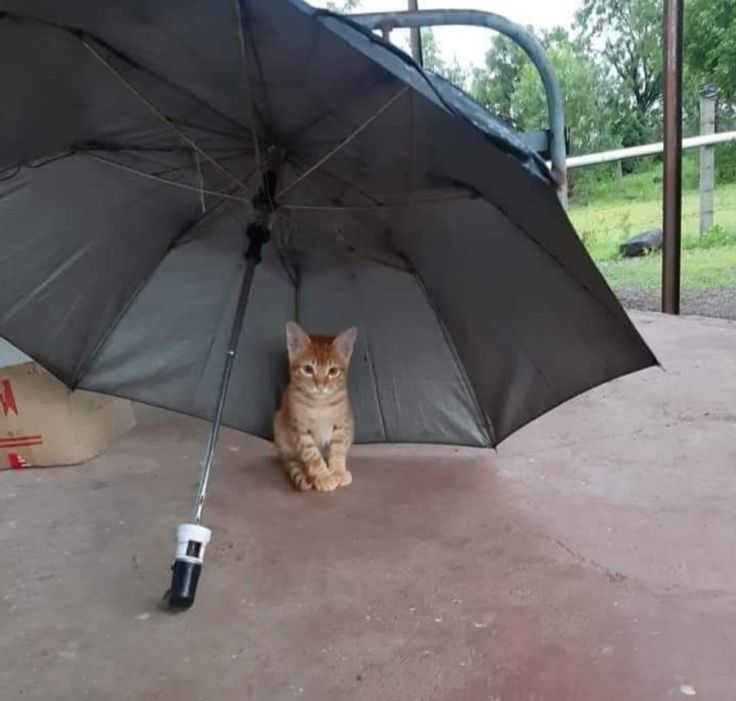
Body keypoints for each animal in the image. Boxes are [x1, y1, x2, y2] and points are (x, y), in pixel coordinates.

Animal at [274, 320, 358, 490]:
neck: (321, 404)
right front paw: (324, 477)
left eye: (333, 371)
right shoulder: (300, 430)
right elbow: (312, 455)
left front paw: (338, 472)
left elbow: (338, 449)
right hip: (279, 429)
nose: (320, 385)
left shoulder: (342, 424)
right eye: (308, 369)